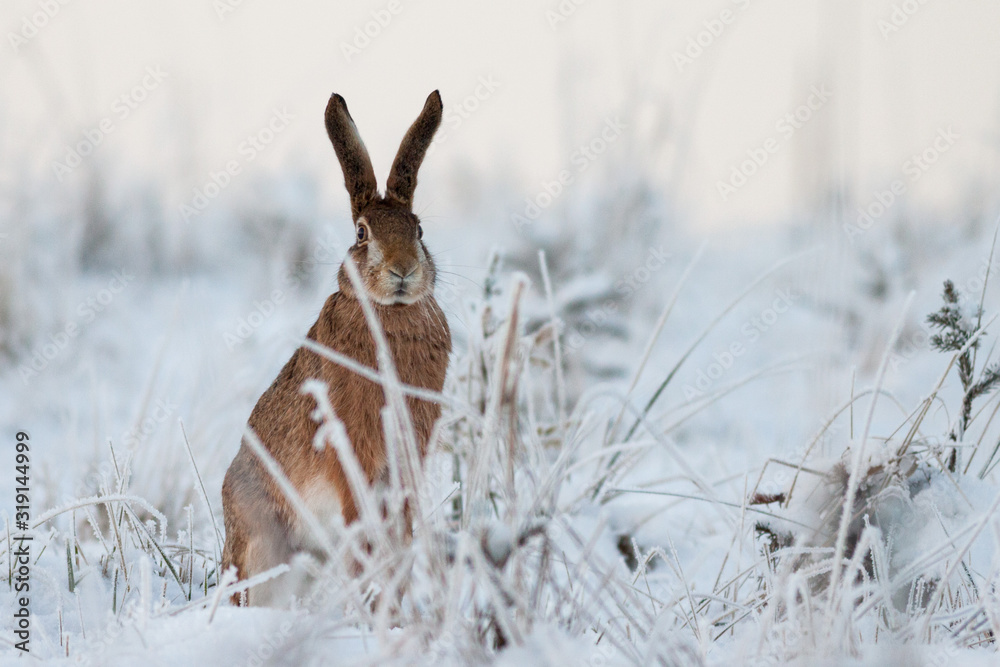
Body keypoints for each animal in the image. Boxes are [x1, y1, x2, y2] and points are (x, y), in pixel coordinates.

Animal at [220, 91, 451, 606]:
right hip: (262, 546)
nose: (404, 270)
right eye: (362, 233)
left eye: (419, 230)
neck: (390, 313)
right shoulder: (352, 448)